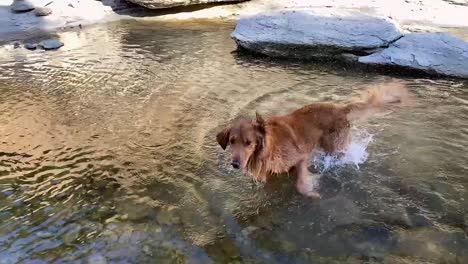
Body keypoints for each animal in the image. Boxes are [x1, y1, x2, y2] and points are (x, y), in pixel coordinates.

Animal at [217, 83, 414, 199]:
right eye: (232, 141)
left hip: (336, 146)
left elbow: (300, 184)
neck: (268, 146)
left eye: (248, 143)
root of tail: (341, 109)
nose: (235, 164)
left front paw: (312, 191)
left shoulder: (302, 157)